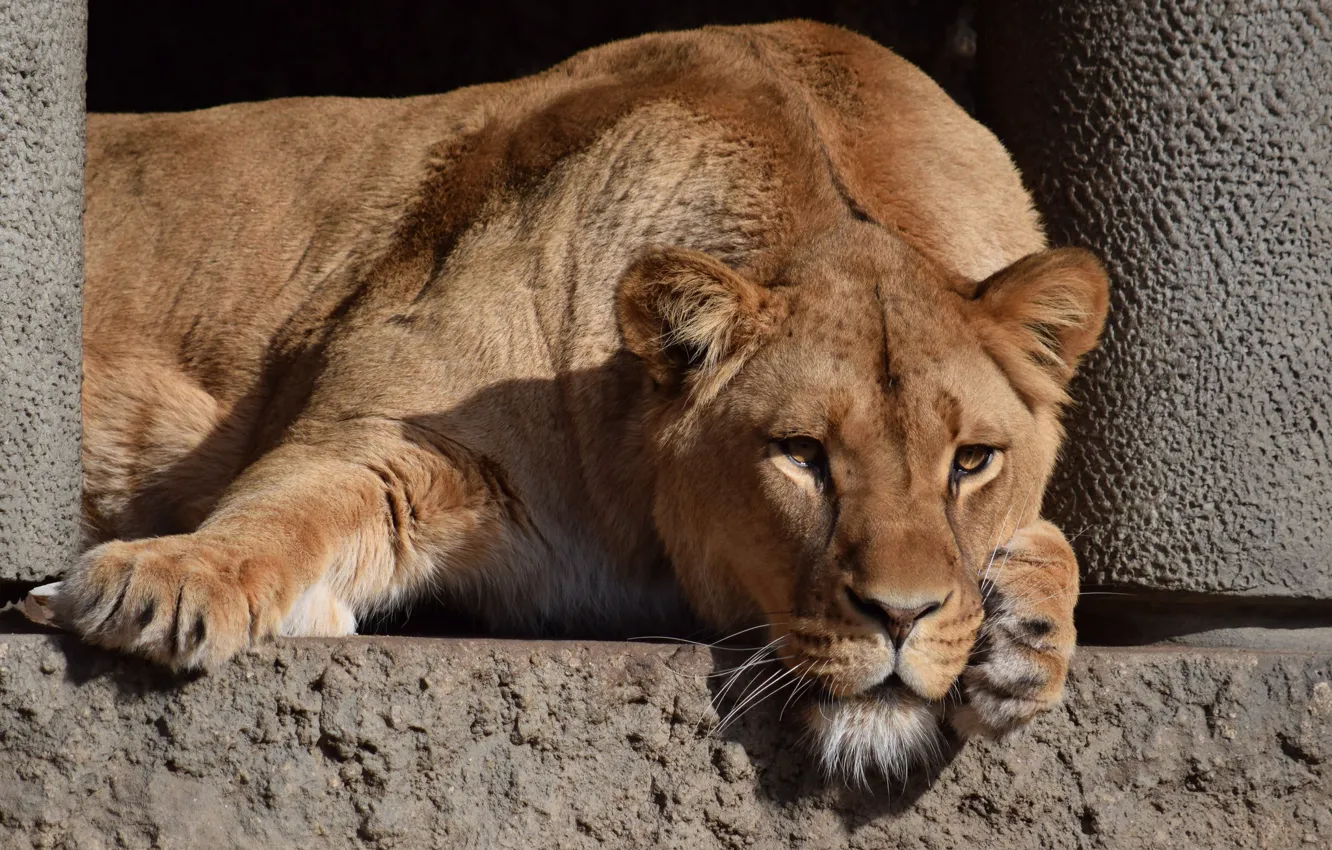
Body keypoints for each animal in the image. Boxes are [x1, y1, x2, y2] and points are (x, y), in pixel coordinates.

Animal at [54, 20, 1108, 781]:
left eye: (972, 461)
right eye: (802, 455)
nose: (901, 616)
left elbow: (1054, 540)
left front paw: (1026, 633)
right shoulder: (398, 443)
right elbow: (281, 510)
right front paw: (168, 578)